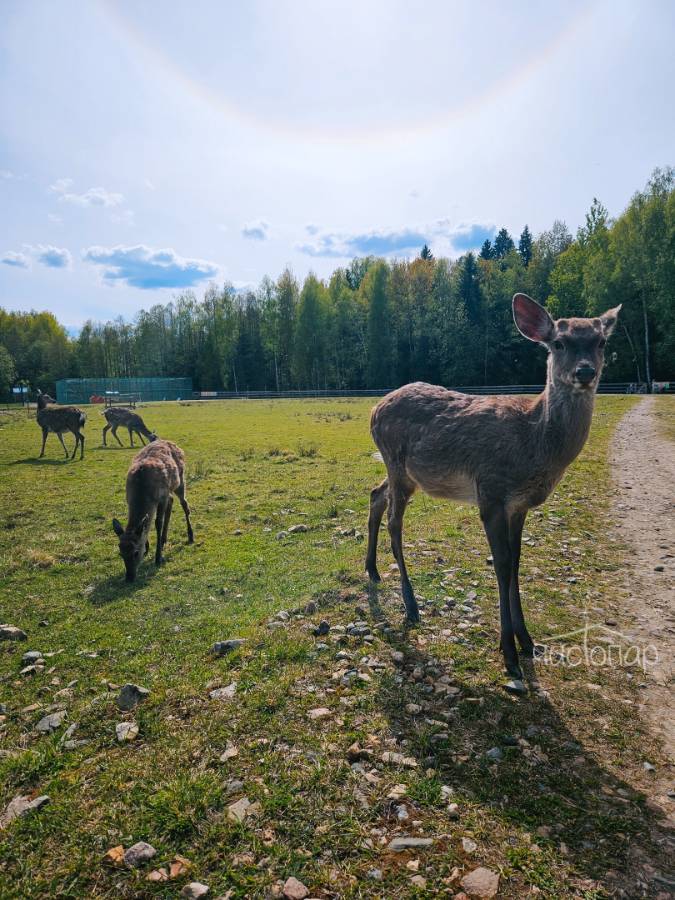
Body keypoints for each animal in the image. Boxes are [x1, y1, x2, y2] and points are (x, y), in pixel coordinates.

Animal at [112, 438, 194, 580]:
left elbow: (157, 523)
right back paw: (164, 539)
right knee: (171, 501)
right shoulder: (129, 498)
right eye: (120, 554)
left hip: (180, 480)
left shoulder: (161, 497)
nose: (129, 578)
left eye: (135, 552)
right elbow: (145, 524)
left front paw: (158, 558)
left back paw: (190, 536)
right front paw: (148, 546)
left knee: (184, 504)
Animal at [368, 292, 620, 680]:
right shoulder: (490, 492)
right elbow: (501, 565)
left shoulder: (519, 505)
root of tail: (374, 409)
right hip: (395, 460)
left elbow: (516, 562)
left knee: (375, 494)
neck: (533, 445)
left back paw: (372, 570)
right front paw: (510, 655)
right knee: (395, 522)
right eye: (559, 342)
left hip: (406, 473)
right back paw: (410, 605)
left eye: (601, 342)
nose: (585, 372)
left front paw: (529, 642)